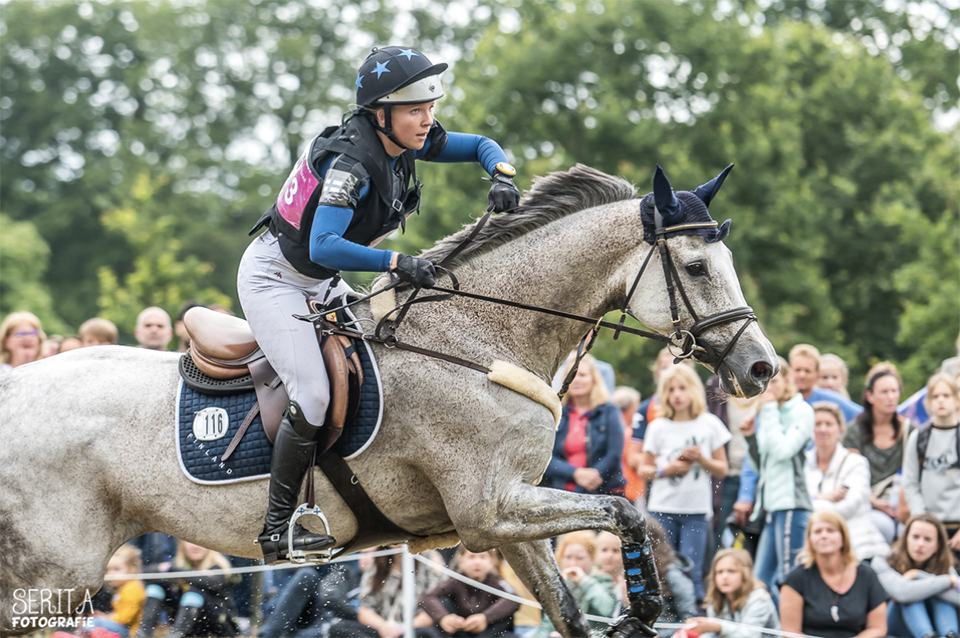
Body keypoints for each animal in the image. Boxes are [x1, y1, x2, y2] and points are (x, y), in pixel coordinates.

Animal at [0, 164, 777, 638]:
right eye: (697, 267)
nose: (762, 367)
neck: (478, 336)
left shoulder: (509, 518)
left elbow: (572, 597)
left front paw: (631, 608)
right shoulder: (490, 509)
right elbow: (627, 512)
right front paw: (642, 603)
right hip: (51, 578)